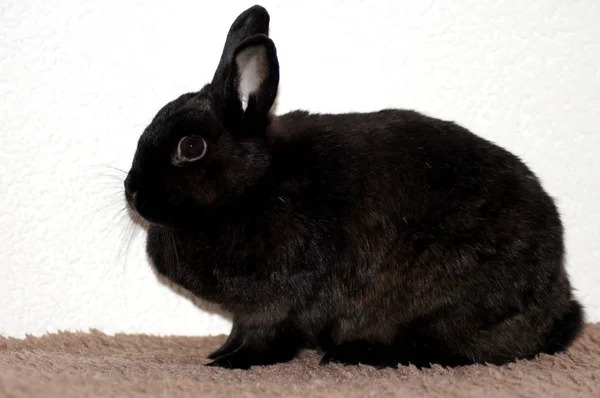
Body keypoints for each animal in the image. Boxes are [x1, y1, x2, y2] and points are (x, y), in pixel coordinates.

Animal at [124, 5, 584, 370]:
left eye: (191, 147)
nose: (132, 192)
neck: (255, 186)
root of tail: (558, 302)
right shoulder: (247, 311)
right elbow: (238, 331)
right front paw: (220, 352)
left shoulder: (277, 301)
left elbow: (264, 337)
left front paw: (230, 364)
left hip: (440, 302)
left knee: (440, 350)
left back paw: (354, 354)